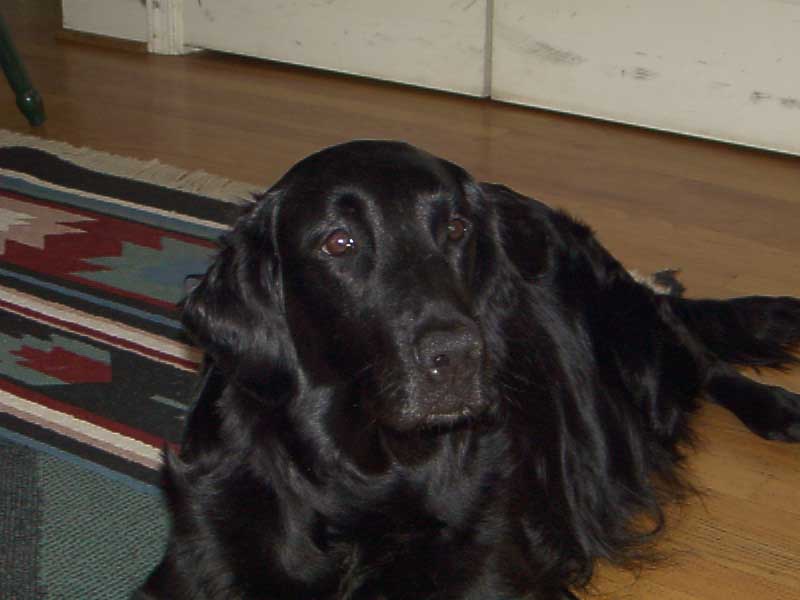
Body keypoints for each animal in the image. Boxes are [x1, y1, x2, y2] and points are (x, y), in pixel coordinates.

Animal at [135, 141, 800, 600]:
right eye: (339, 243)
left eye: (455, 230)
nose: (458, 356)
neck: (363, 473)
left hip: (638, 354)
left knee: (690, 343)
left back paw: (777, 408)